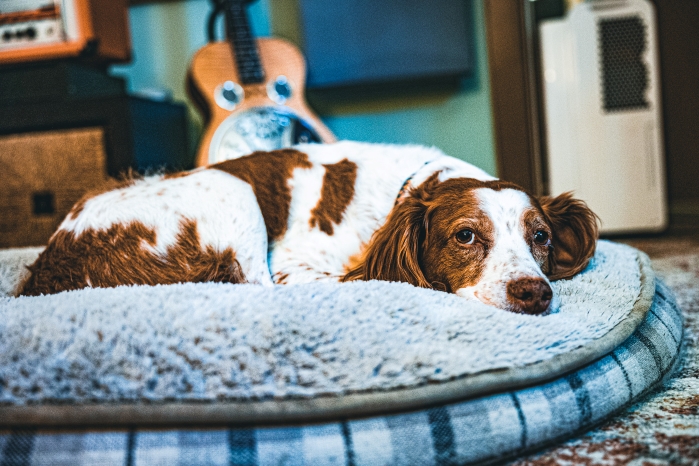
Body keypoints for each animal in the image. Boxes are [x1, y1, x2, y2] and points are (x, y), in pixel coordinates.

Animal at [19, 140, 600, 312]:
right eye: (465, 235)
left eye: (541, 237)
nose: (534, 293)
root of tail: (44, 270)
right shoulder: (294, 266)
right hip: (231, 188)